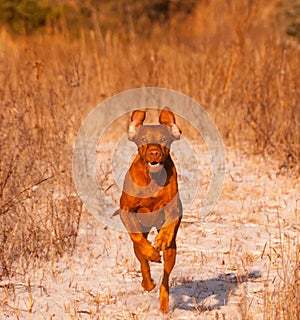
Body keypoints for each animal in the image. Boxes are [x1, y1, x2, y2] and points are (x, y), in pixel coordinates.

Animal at [117, 107, 183, 312]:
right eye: (144, 139)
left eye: (163, 139)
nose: (154, 153)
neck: (153, 179)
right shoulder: (126, 210)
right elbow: (137, 238)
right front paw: (152, 252)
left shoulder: (174, 207)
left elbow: (169, 224)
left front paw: (161, 239)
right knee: (142, 261)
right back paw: (148, 282)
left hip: (172, 252)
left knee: (165, 279)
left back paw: (163, 305)